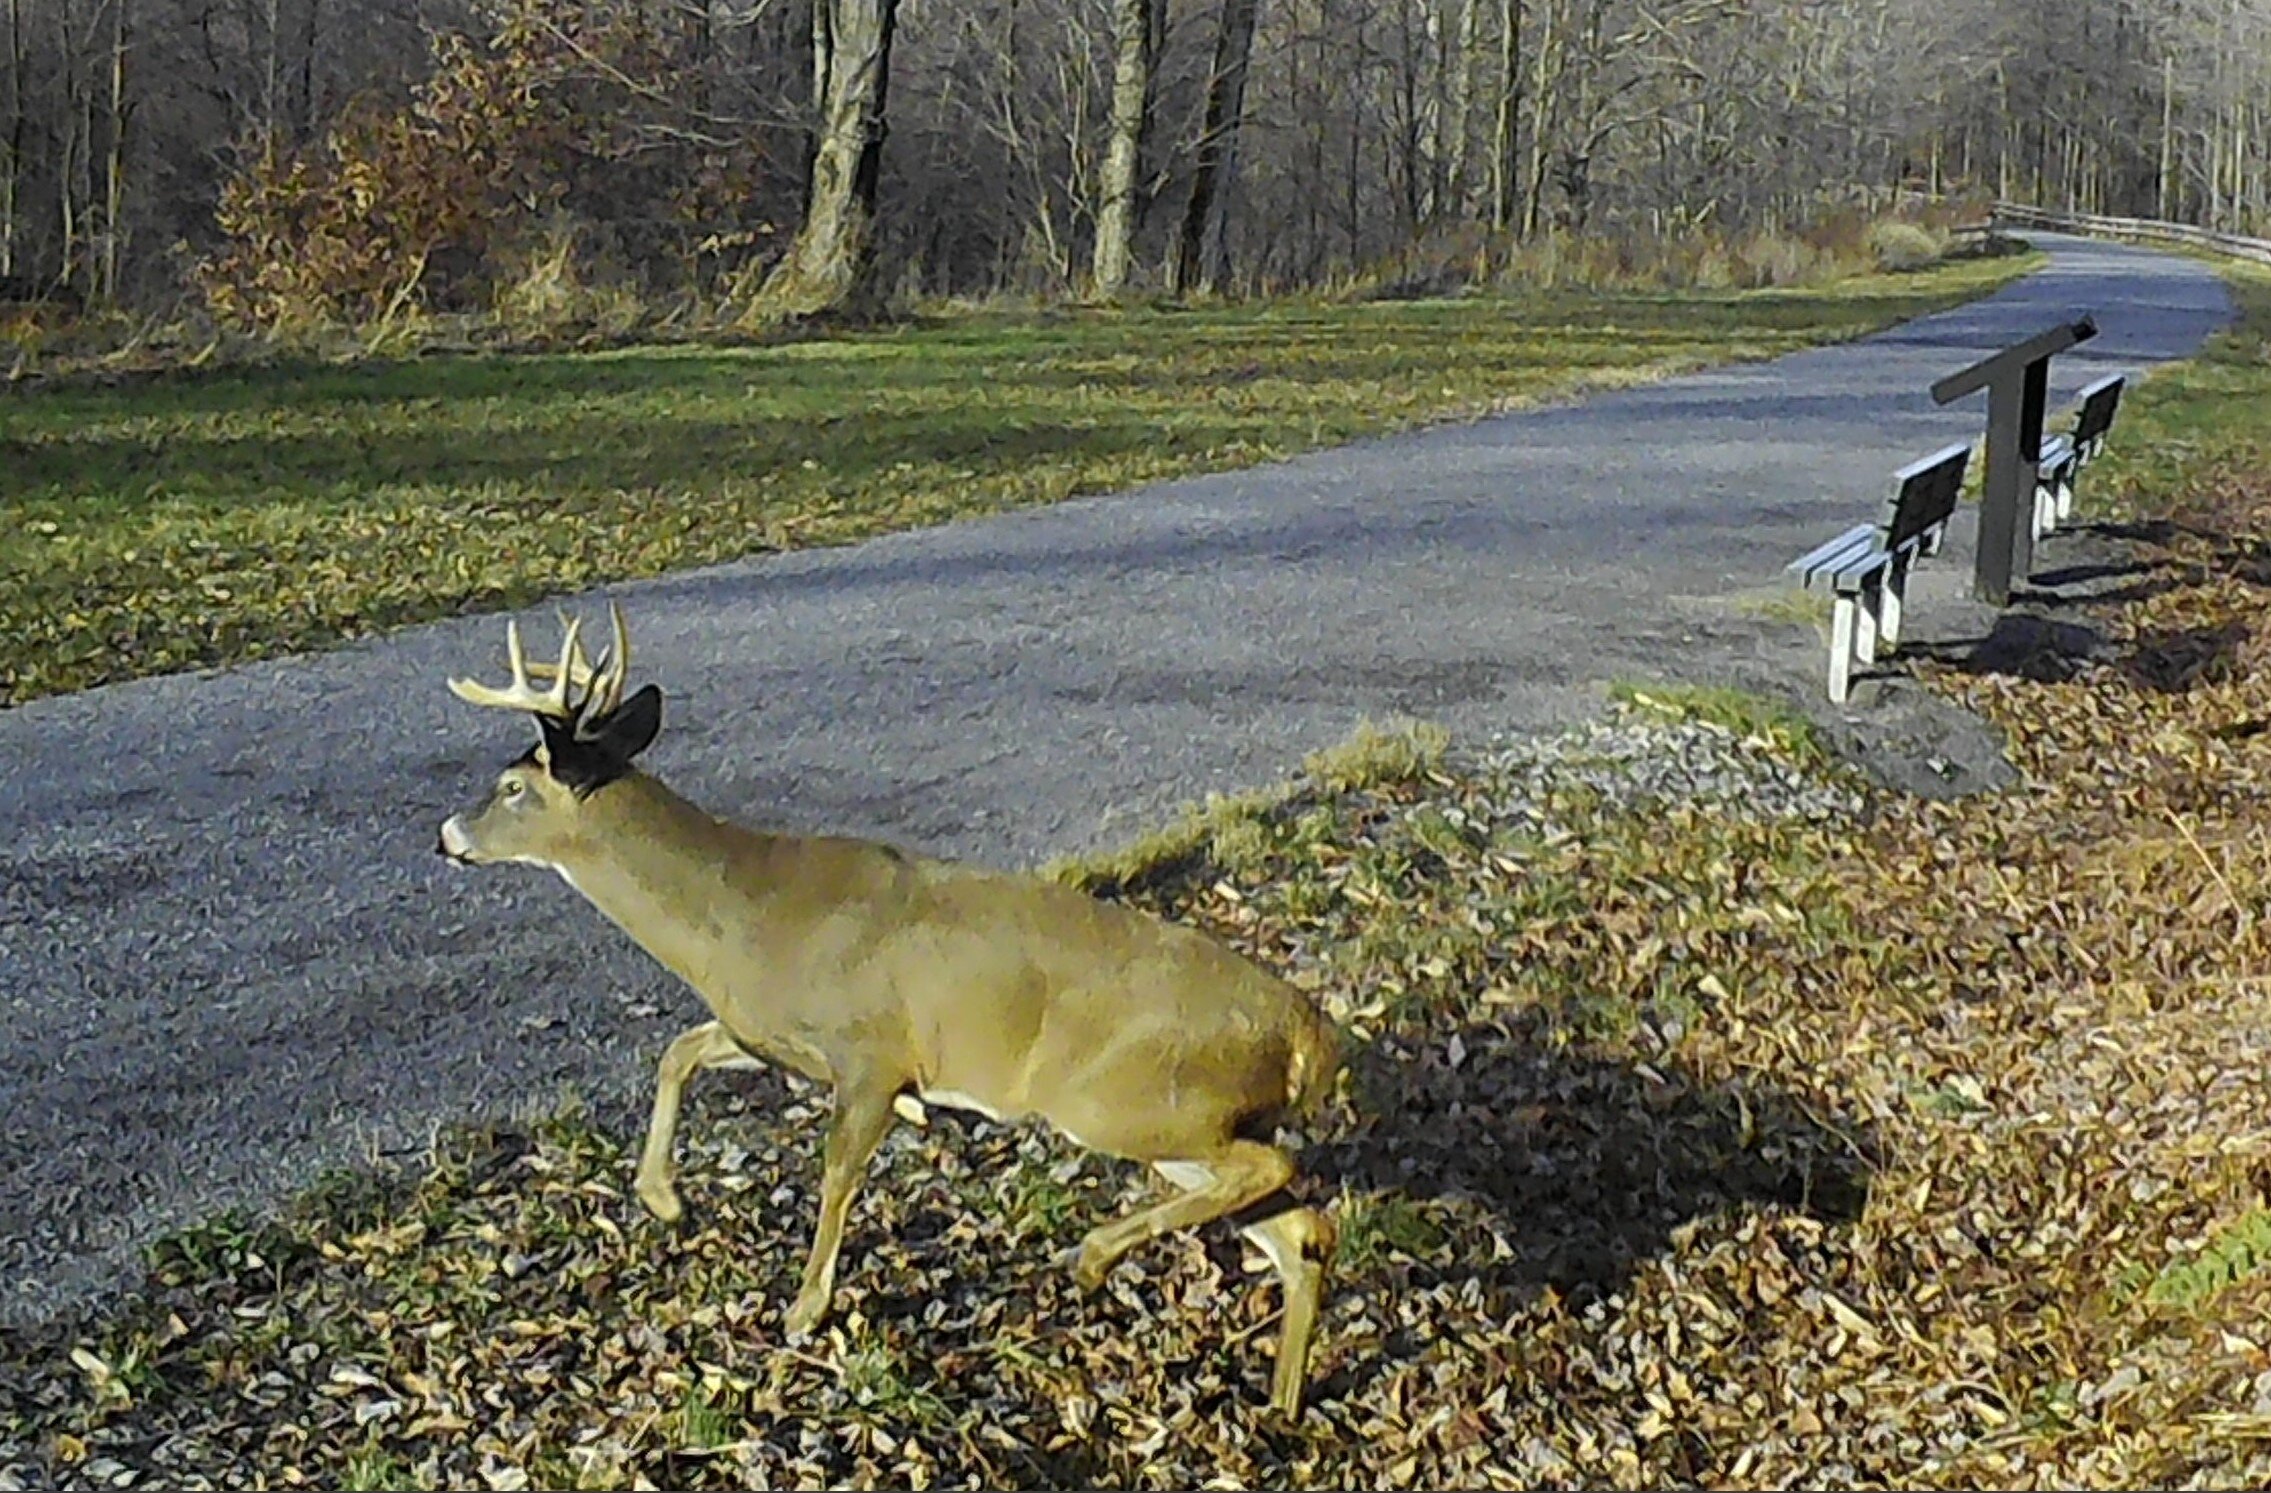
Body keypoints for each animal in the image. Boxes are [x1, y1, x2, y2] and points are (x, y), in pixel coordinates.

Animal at [433, 604, 1335, 1408]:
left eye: (510, 786)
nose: (446, 836)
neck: (742, 915)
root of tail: (1306, 1032)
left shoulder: (872, 1054)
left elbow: (835, 1174)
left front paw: (804, 1308)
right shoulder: (771, 1034)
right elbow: (679, 1051)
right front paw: (665, 1197)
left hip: (1126, 1099)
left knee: (1277, 1174)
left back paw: (1093, 1256)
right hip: (1177, 1119)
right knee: (1300, 1231)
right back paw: (1280, 1402)